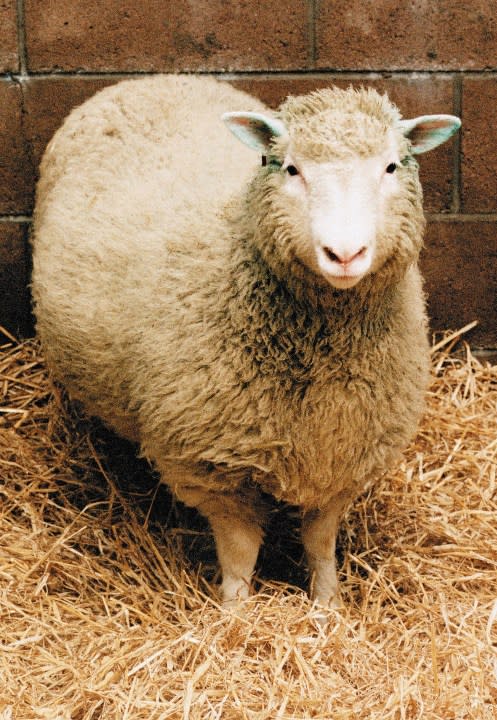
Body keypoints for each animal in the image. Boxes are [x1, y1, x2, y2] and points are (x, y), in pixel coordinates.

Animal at [31, 76, 460, 612]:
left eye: (391, 167)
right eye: (291, 168)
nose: (344, 254)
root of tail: (149, 79)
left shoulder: (344, 454)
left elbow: (320, 542)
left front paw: (328, 608)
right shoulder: (215, 467)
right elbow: (240, 552)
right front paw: (235, 613)